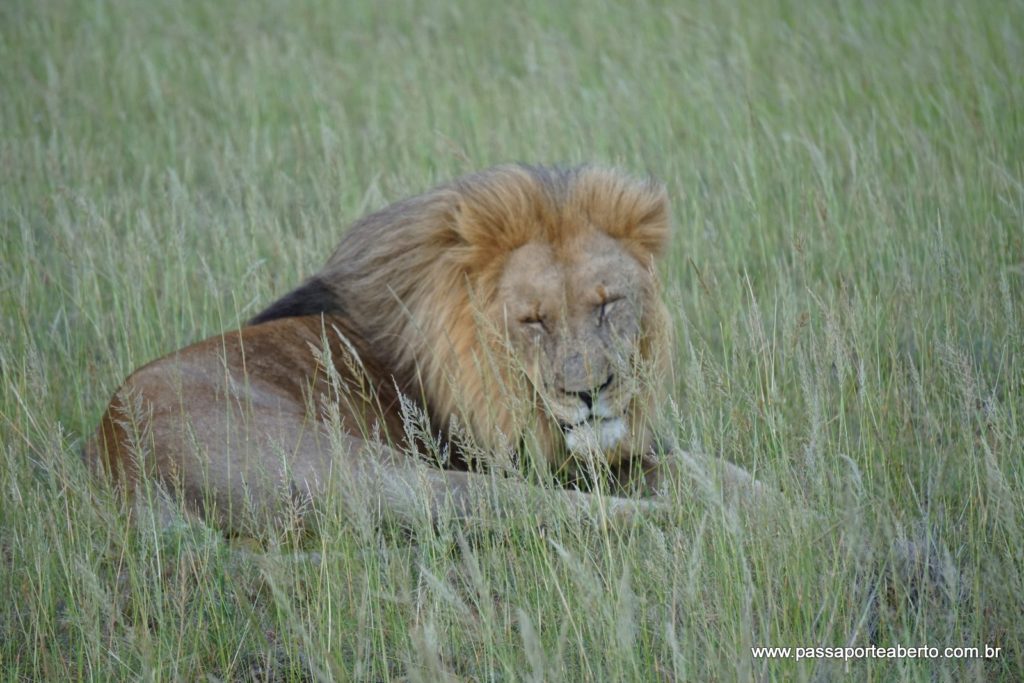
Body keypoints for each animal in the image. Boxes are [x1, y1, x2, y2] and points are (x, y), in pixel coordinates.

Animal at [86, 164, 766, 535]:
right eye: (533, 320)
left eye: (608, 304)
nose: (588, 393)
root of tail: (120, 459)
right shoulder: (517, 459)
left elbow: (705, 464)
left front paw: (771, 496)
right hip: (379, 474)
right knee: (542, 512)